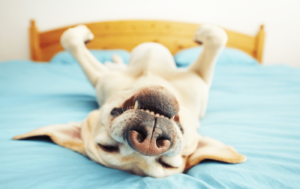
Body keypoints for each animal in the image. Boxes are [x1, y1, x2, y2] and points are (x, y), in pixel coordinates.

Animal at [13, 24, 246, 177]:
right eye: (107, 148)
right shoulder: (100, 78)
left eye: (168, 165)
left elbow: (218, 37)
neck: (150, 77)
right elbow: (69, 39)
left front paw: (202, 33)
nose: (148, 141)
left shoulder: (200, 79)